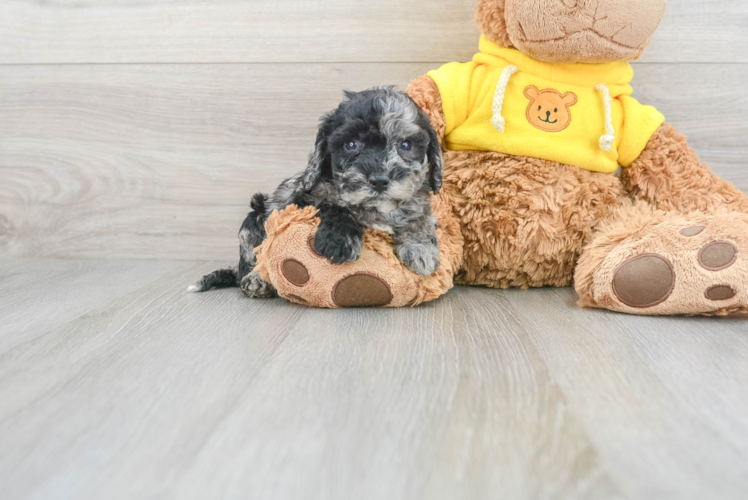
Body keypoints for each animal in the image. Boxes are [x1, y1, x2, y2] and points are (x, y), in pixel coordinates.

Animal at [190, 87, 442, 296]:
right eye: (351, 145)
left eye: (405, 145)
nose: (379, 180)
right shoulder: (302, 199)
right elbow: (333, 205)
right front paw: (340, 240)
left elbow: (420, 216)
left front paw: (420, 248)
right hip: (253, 222)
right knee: (254, 259)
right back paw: (257, 279)